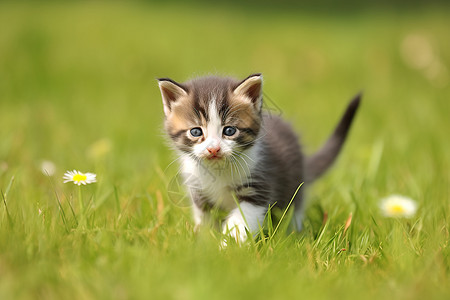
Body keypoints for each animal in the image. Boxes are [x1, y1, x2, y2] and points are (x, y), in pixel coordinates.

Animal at [158, 73, 362, 244]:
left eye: (229, 130)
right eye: (196, 132)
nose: (213, 149)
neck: (219, 171)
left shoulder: (257, 187)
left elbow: (240, 222)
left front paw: (228, 248)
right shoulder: (200, 194)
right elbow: (206, 222)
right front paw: (205, 244)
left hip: (294, 186)